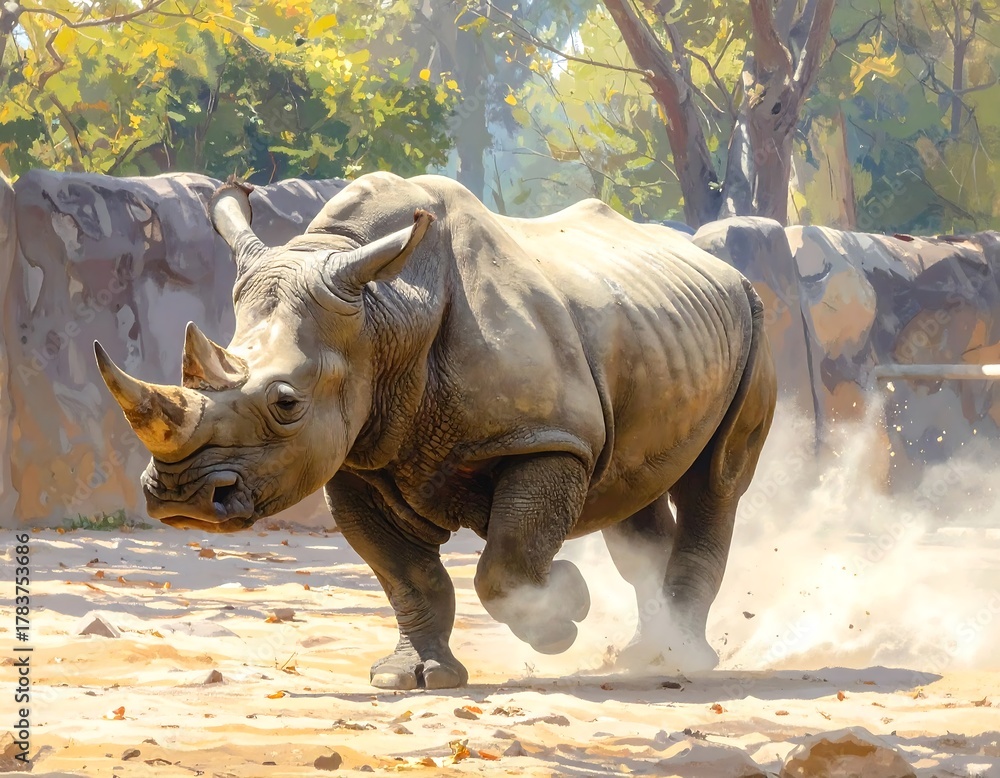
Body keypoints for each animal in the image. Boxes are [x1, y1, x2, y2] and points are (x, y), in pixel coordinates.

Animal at [94, 172, 777, 690]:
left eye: (285, 403)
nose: (182, 499)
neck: (384, 314)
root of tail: (720, 266)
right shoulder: (358, 454)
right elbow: (406, 575)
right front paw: (412, 677)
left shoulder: (545, 436)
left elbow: (505, 562)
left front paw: (565, 611)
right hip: (658, 329)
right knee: (631, 491)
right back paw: (645, 654)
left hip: (756, 318)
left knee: (715, 482)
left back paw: (680, 657)